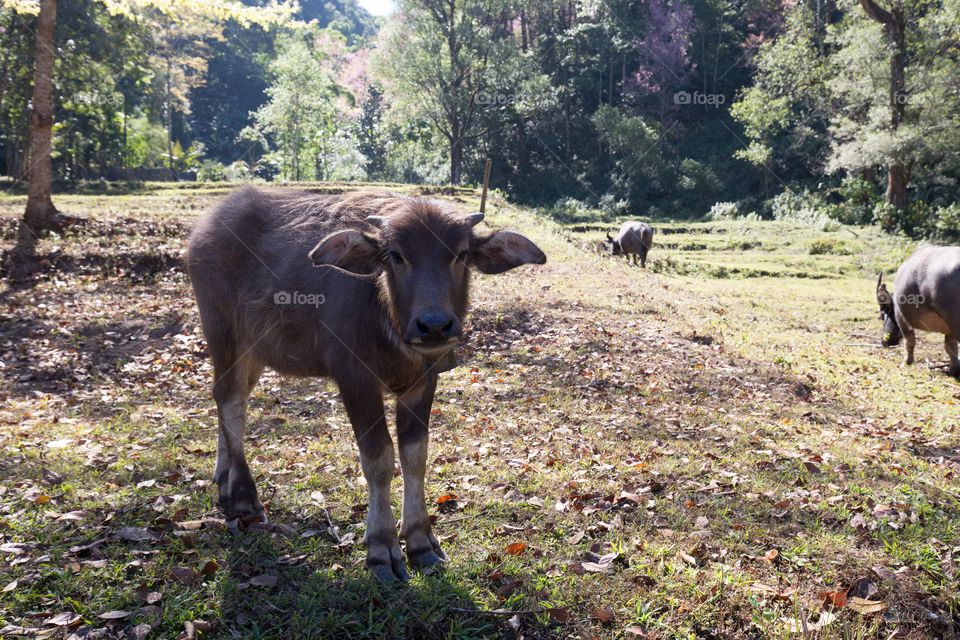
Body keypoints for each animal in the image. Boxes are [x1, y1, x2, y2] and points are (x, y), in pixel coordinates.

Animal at [186, 186, 548, 580]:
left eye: (462, 254)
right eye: (396, 255)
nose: (434, 325)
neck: (386, 318)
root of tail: (206, 227)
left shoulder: (423, 382)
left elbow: (415, 455)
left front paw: (420, 541)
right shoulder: (354, 378)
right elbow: (378, 457)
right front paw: (382, 548)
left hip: (254, 350)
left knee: (231, 399)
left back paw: (223, 477)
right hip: (223, 332)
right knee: (230, 399)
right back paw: (242, 494)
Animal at [876, 244, 960, 376]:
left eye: (882, 315)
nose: (884, 341)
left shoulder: (901, 318)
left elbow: (909, 341)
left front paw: (907, 362)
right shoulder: (949, 330)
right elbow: (950, 347)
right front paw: (954, 369)